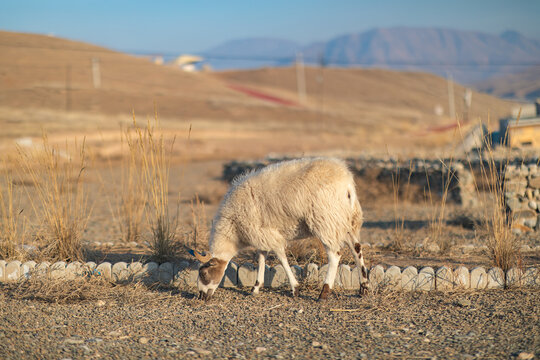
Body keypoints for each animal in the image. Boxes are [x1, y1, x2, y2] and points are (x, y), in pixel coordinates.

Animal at [191, 158, 372, 300]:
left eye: (204, 273)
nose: (201, 296)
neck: (233, 230)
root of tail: (347, 184)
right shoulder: (261, 233)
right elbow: (261, 256)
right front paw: (256, 287)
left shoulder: (265, 233)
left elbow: (280, 257)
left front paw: (295, 288)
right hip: (345, 219)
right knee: (356, 248)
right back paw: (364, 287)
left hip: (326, 219)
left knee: (334, 254)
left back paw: (324, 293)